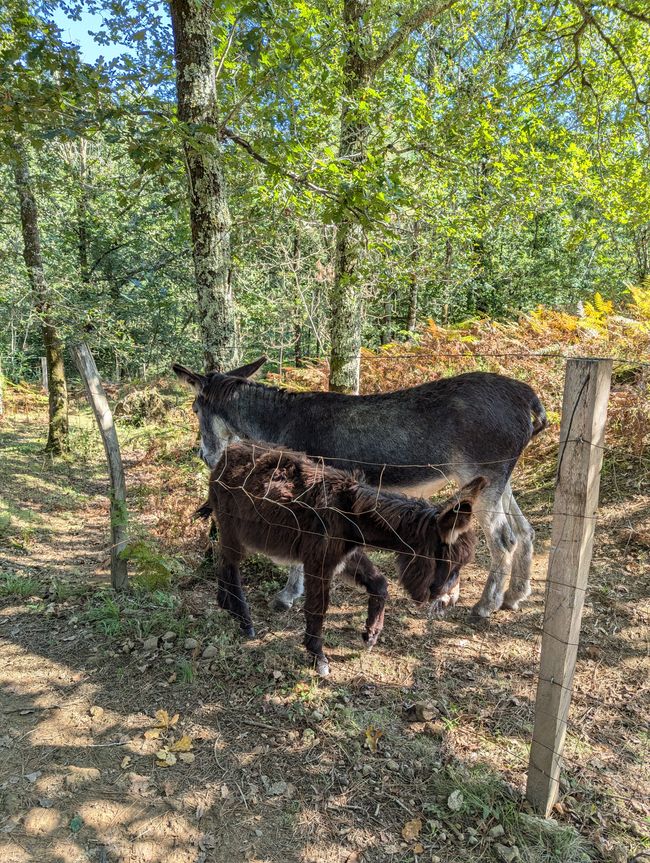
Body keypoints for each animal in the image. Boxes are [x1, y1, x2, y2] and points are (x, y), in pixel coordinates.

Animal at [202, 442, 486, 680]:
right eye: (448, 561)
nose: (446, 599)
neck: (351, 515)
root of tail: (226, 455)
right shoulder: (319, 561)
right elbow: (318, 608)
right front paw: (318, 657)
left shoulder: (345, 556)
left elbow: (379, 584)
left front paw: (371, 635)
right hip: (234, 530)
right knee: (230, 565)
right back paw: (244, 620)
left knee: (223, 563)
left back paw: (226, 605)